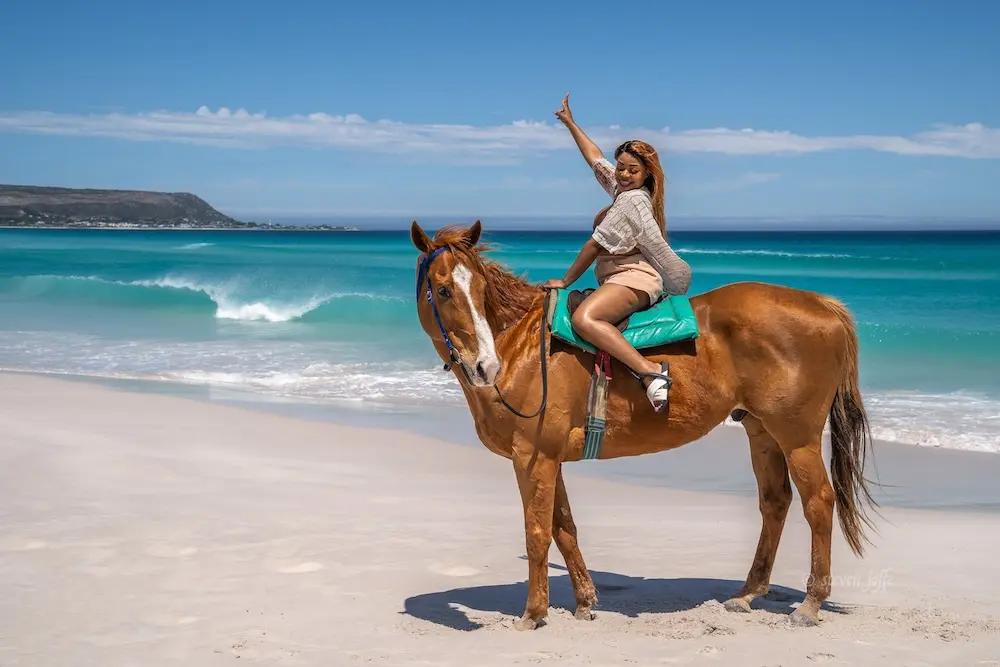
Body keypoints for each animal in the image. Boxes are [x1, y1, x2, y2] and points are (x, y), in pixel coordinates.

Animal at [409, 219, 878, 630]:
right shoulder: (549, 459)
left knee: (818, 502)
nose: (486, 367)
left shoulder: (533, 456)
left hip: (796, 437)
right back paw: (747, 594)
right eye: (445, 290)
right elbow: (564, 527)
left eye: (479, 289)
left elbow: (538, 531)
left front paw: (533, 613)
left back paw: (810, 603)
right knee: (775, 502)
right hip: (761, 431)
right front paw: (584, 602)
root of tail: (822, 305)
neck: (523, 346)